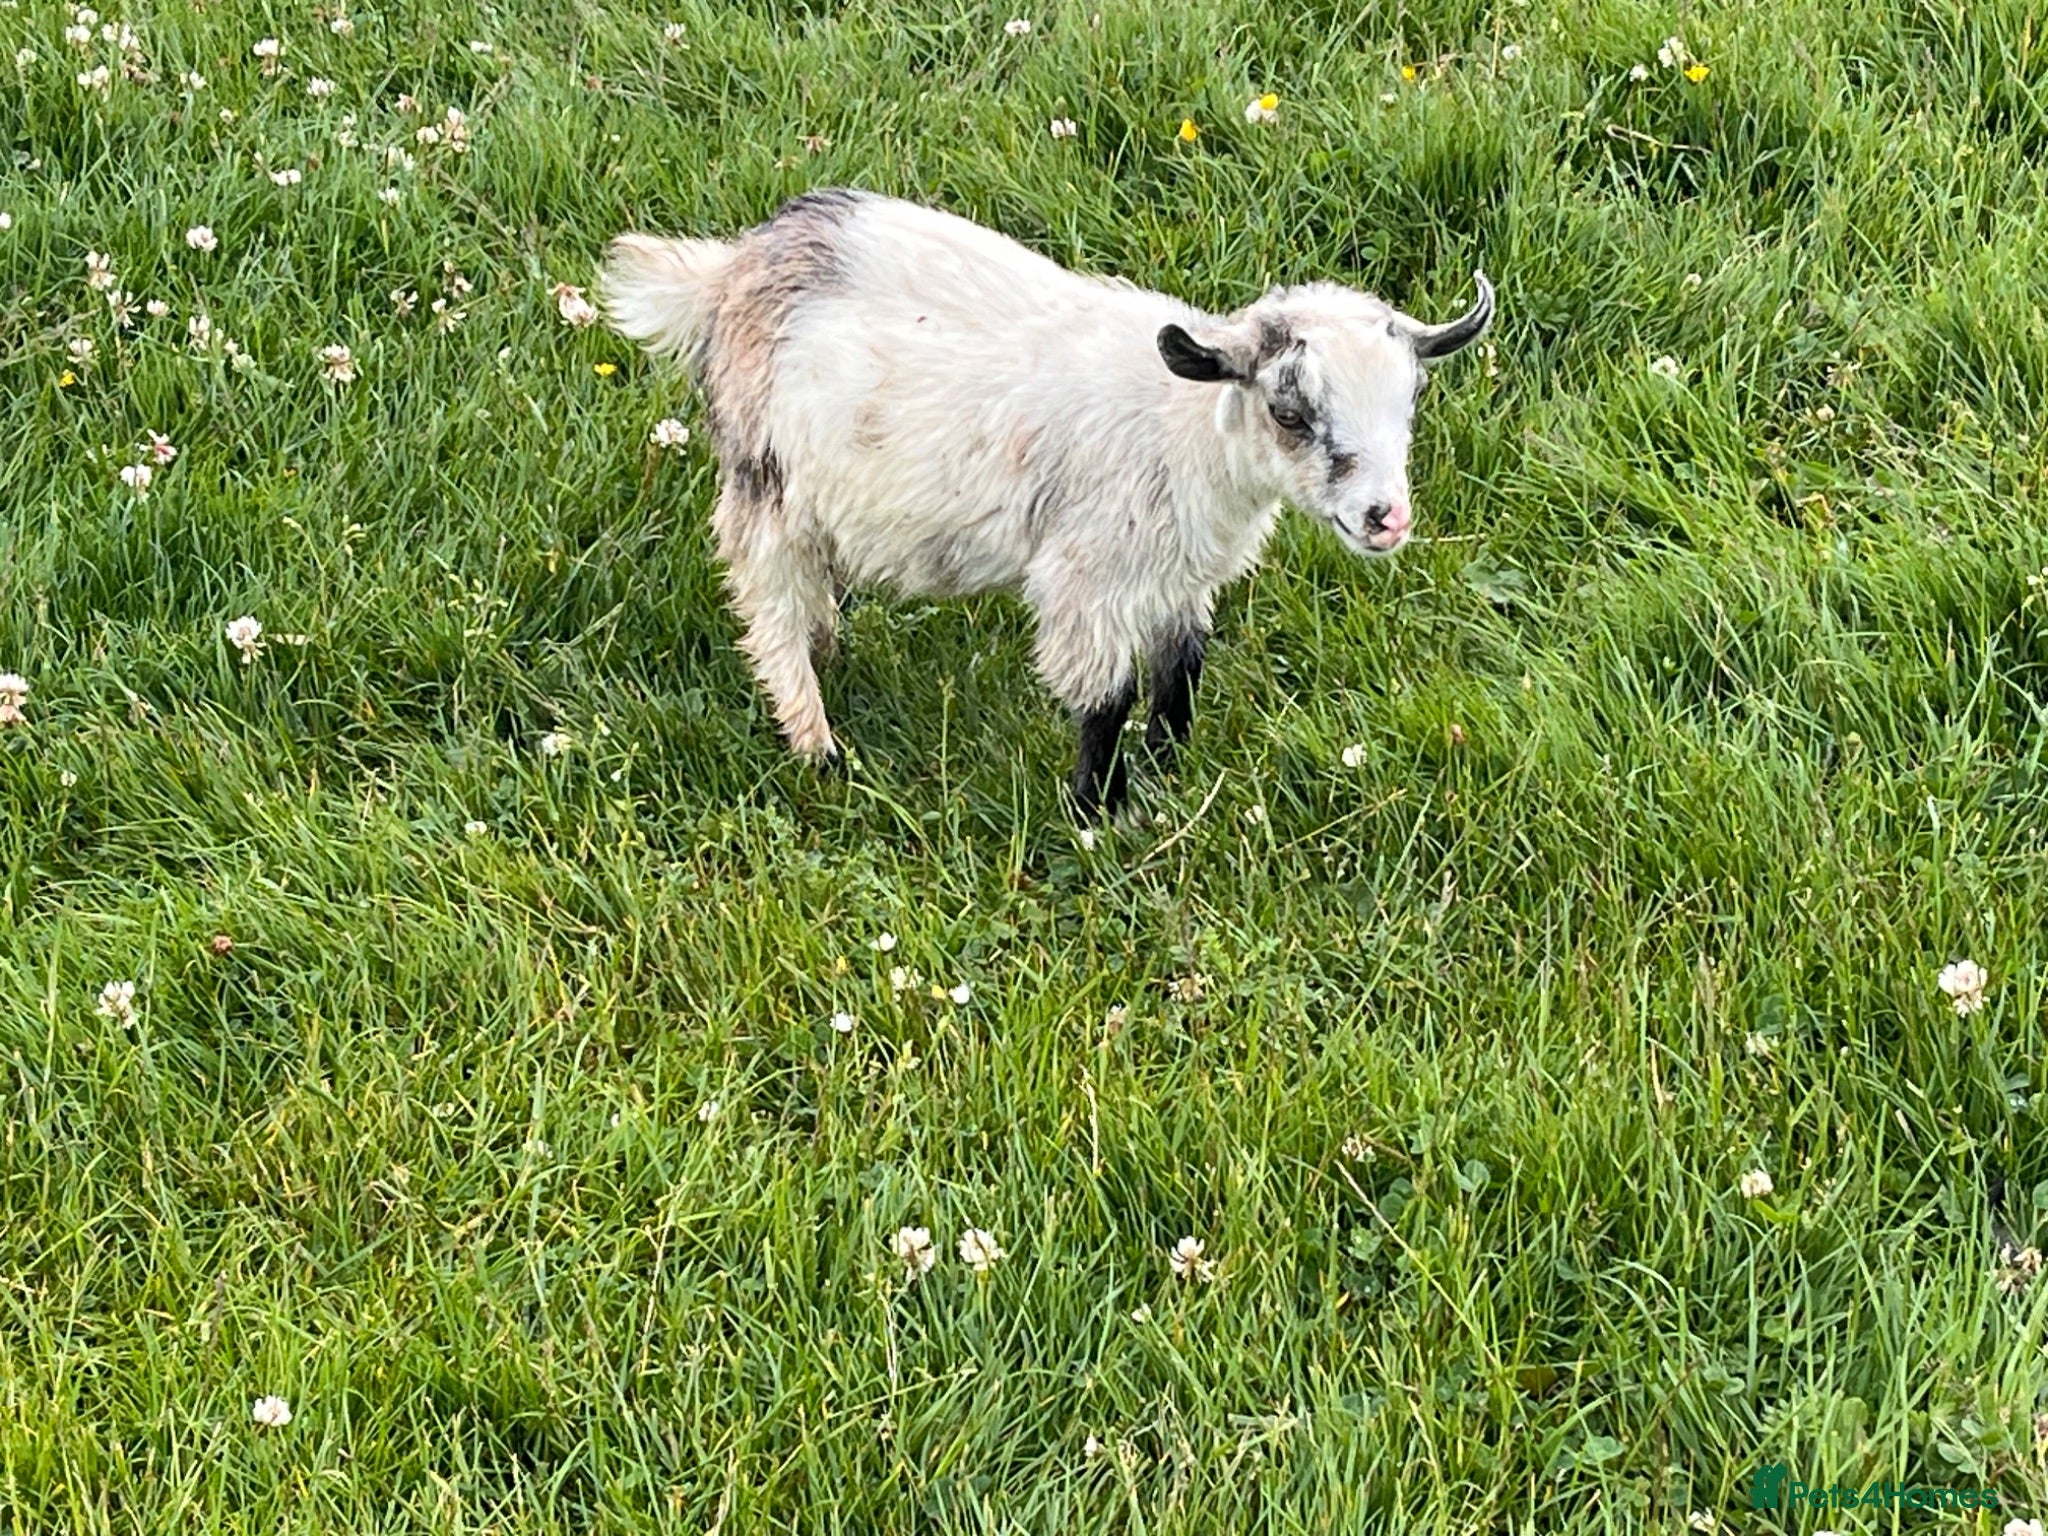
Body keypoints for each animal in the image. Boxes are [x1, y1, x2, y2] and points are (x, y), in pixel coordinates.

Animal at [599, 188, 1493, 816]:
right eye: (1289, 412)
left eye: (1413, 397)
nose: (1386, 518)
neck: (1181, 428)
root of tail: (729, 274)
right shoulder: (1085, 580)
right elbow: (1106, 697)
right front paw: (1097, 810)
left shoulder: (1178, 576)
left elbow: (1180, 672)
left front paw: (1168, 771)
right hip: (764, 480)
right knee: (768, 602)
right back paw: (819, 748)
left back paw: (831, 653)